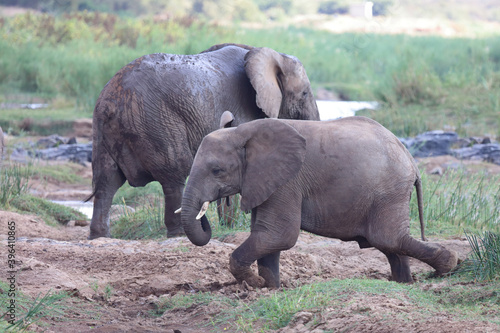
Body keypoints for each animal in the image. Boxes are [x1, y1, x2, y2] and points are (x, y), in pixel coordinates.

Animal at [86, 42, 318, 239]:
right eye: (305, 93)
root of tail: (112, 100)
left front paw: (228, 225)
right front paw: (231, 226)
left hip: (104, 129)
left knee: (106, 180)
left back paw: (100, 237)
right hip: (154, 122)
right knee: (174, 174)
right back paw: (179, 233)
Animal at [179, 115, 458, 286]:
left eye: (217, 171)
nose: (205, 215)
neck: (243, 131)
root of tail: (411, 159)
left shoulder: (287, 181)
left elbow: (279, 234)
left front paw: (255, 284)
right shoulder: (266, 181)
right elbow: (267, 236)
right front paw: (269, 287)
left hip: (389, 190)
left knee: (389, 239)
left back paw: (448, 264)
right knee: (391, 244)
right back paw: (406, 282)